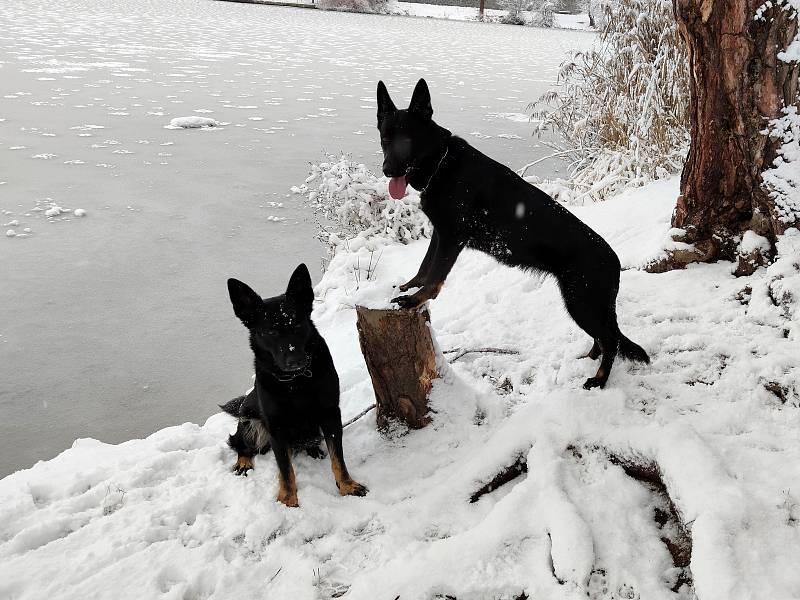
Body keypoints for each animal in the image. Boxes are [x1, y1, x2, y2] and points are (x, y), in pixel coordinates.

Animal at [220, 264, 368, 506]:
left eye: (297, 324)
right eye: (270, 332)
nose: (295, 361)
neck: (296, 382)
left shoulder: (330, 415)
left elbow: (338, 458)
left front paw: (347, 486)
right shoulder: (277, 427)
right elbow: (285, 469)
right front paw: (288, 501)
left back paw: (313, 449)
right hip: (250, 421)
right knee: (239, 443)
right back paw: (243, 462)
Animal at [376, 78, 648, 390]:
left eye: (406, 141)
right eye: (385, 139)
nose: (387, 170)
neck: (441, 164)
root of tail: (614, 262)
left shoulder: (451, 238)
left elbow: (435, 277)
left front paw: (415, 300)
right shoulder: (440, 234)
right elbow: (424, 267)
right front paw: (409, 287)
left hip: (581, 303)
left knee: (611, 340)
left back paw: (599, 380)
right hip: (585, 306)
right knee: (603, 337)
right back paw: (589, 358)